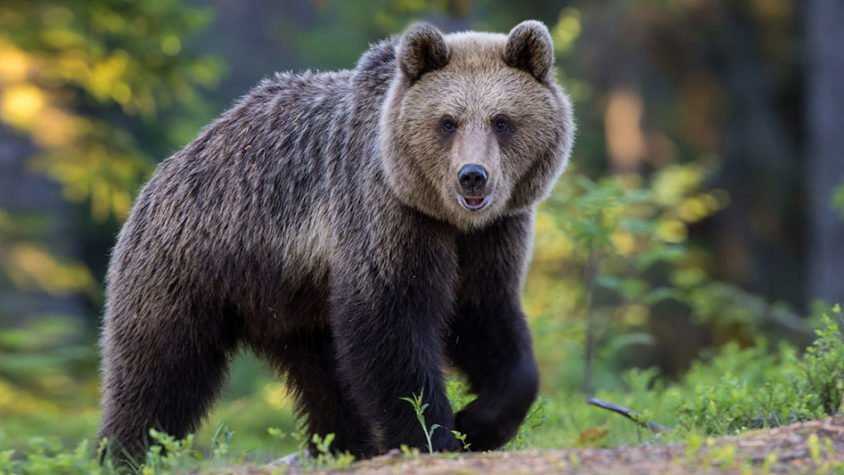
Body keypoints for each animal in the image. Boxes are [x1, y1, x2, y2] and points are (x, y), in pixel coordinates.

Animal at [99, 19, 574, 463]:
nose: (473, 176)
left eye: (502, 120)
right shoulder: (385, 215)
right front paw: (433, 434)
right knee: (159, 369)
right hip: (193, 265)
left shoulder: (491, 235)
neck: (448, 218)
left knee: (325, 379)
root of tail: (166, 169)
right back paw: (127, 452)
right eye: (447, 122)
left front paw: (477, 422)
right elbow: (390, 327)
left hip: (295, 306)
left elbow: (488, 320)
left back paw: (341, 444)